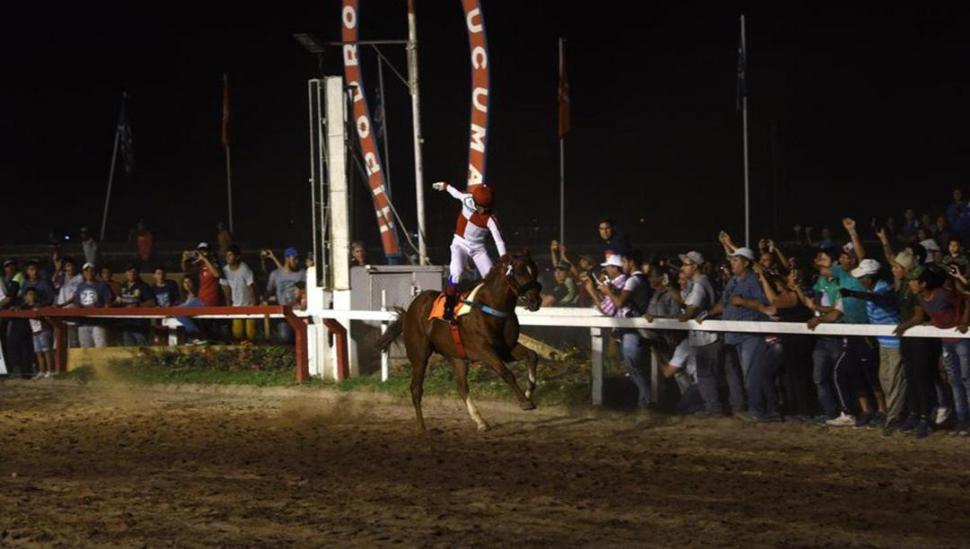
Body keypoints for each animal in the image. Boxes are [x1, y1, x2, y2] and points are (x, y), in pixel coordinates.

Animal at [376, 250, 540, 430]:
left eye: (534, 270)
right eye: (519, 272)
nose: (536, 301)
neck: (491, 307)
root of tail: (409, 312)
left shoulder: (505, 348)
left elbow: (532, 355)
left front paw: (529, 391)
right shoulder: (484, 349)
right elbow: (506, 373)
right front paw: (525, 402)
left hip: (456, 356)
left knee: (461, 386)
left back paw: (480, 421)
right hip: (419, 355)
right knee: (416, 388)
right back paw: (422, 427)